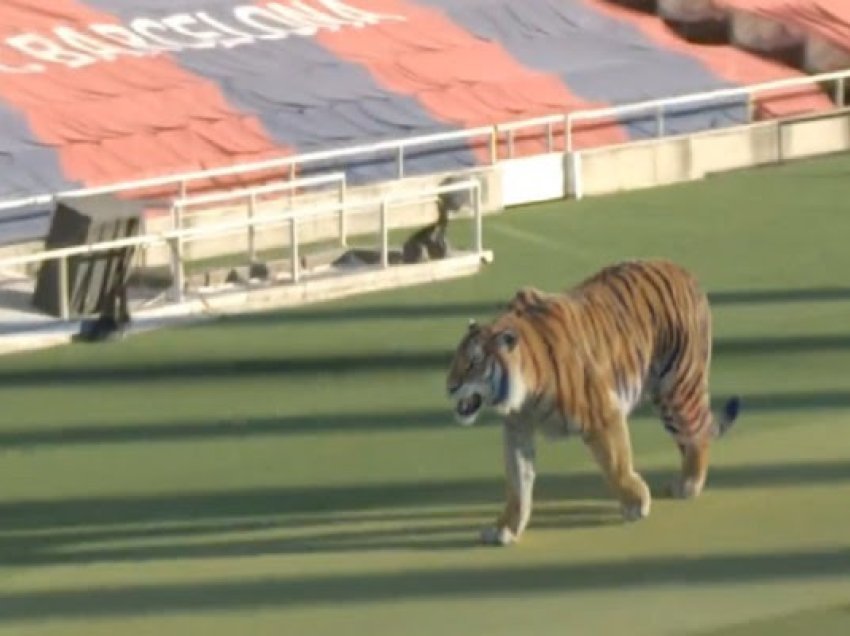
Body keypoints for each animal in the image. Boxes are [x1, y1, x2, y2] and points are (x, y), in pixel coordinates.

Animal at [448, 258, 740, 548]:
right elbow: (518, 483)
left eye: (474, 363)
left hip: (678, 388)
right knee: (688, 438)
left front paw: (636, 504)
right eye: (456, 360)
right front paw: (506, 529)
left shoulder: (603, 414)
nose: (450, 387)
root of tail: (685, 272)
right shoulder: (517, 430)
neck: (524, 393)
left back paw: (688, 485)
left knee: (697, 436)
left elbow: (616, 464)